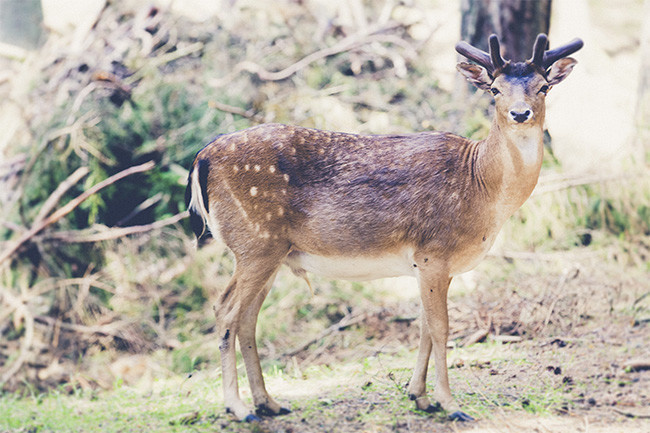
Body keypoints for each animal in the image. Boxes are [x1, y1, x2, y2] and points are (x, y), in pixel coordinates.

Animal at [185, 33, 583, 423]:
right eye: (495, 89)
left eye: (544, 86)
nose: (520, 113)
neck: (481, 186)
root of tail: (202, 158)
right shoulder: (433, 251)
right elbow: (441, 327)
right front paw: (450, 404)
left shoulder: (429, 265)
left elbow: (424, 327)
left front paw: (420, 397)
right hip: (255, 242)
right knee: (225, 310)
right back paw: (238, 408)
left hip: (272, 252)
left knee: (248, 317)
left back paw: (268, 403)